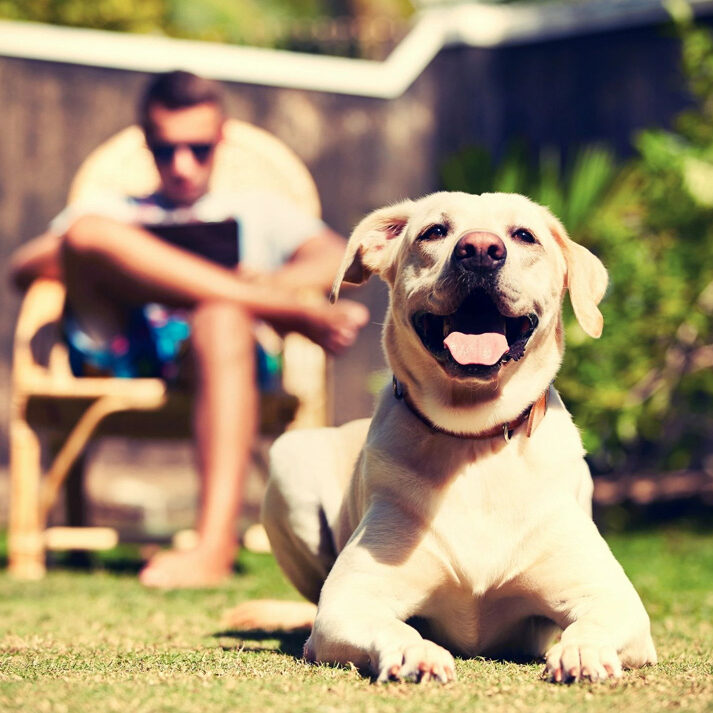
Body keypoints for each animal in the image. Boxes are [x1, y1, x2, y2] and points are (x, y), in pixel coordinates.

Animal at [231, 192, 652, 680]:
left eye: (524, 235)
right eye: (434, 231)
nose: (481, 250)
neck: (475, 441)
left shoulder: (613, 599)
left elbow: (598, 622)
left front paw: (583, 651)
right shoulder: (347, 602)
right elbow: (388, 625)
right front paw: (415, 651)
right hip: (290, 465)